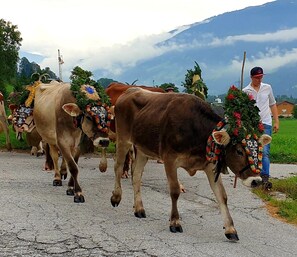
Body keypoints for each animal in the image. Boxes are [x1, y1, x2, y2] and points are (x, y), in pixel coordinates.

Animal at [111, 88, 270, 240]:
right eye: (239, 151)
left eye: (259, 149)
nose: (256, 181)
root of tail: (129, 91)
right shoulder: (169, 159)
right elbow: (175, 191)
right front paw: (175, 222)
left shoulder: (210, 166)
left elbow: (222, 196)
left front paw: (230, 229)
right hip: (123, 139)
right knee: (118, 167)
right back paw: (116, 197)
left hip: (143, 149)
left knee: (137, 175)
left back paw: (139, 208)